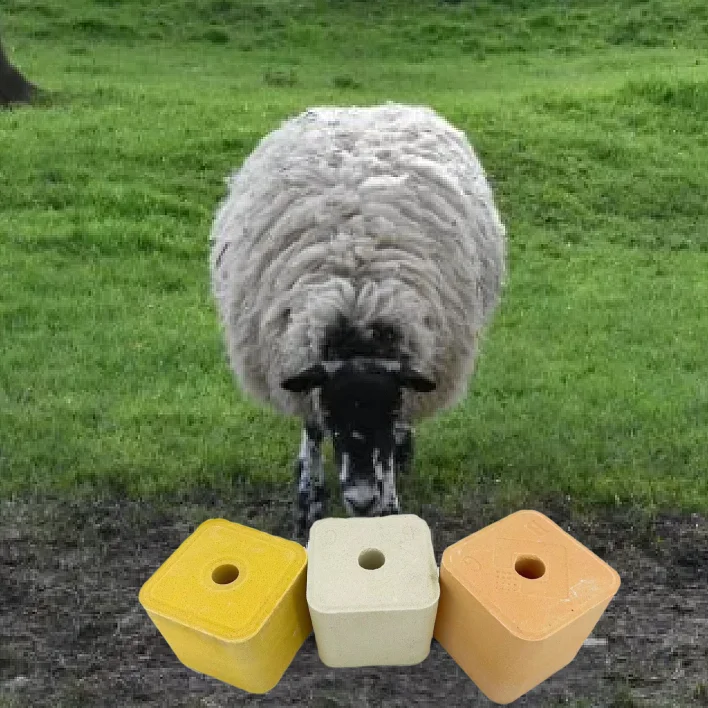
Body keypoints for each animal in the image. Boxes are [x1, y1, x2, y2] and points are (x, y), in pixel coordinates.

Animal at [210, 103, 506, 537]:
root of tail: (367, 108)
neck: (357, 309)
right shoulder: (302, 366)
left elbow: (390, 445)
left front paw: (389, 504)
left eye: (387, 411)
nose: (362, 500)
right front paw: (309, 503)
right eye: (334, 413)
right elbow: (312, 431)